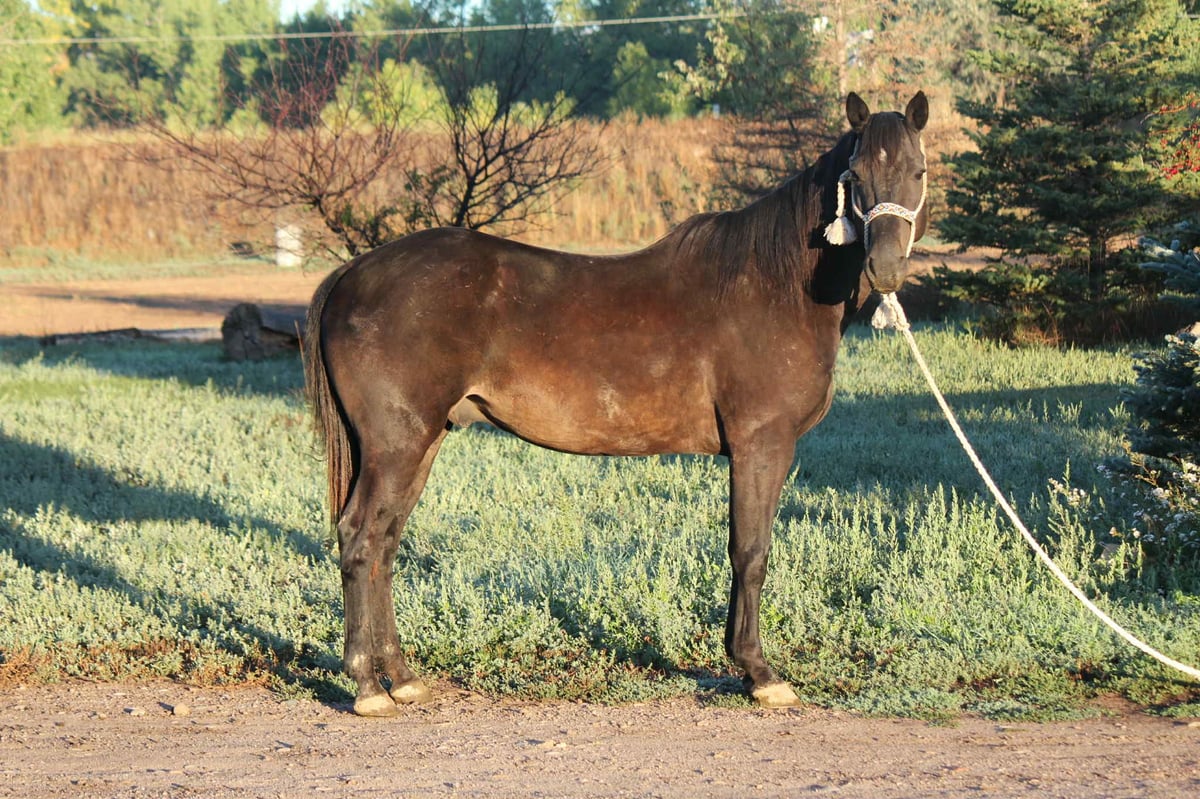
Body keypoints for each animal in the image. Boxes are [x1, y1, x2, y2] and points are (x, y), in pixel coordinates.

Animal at [303, 91, 930, 716]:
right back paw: (367, 686)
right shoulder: (762, 444)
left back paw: (402, 677)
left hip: (421, 441)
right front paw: (759, 673)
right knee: (359, 538)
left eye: (918, 171)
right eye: (856, 174)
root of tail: (352, 272)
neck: (774, 285)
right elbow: (750, 552)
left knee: (385, 543)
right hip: (397, 444)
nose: (886, 269)